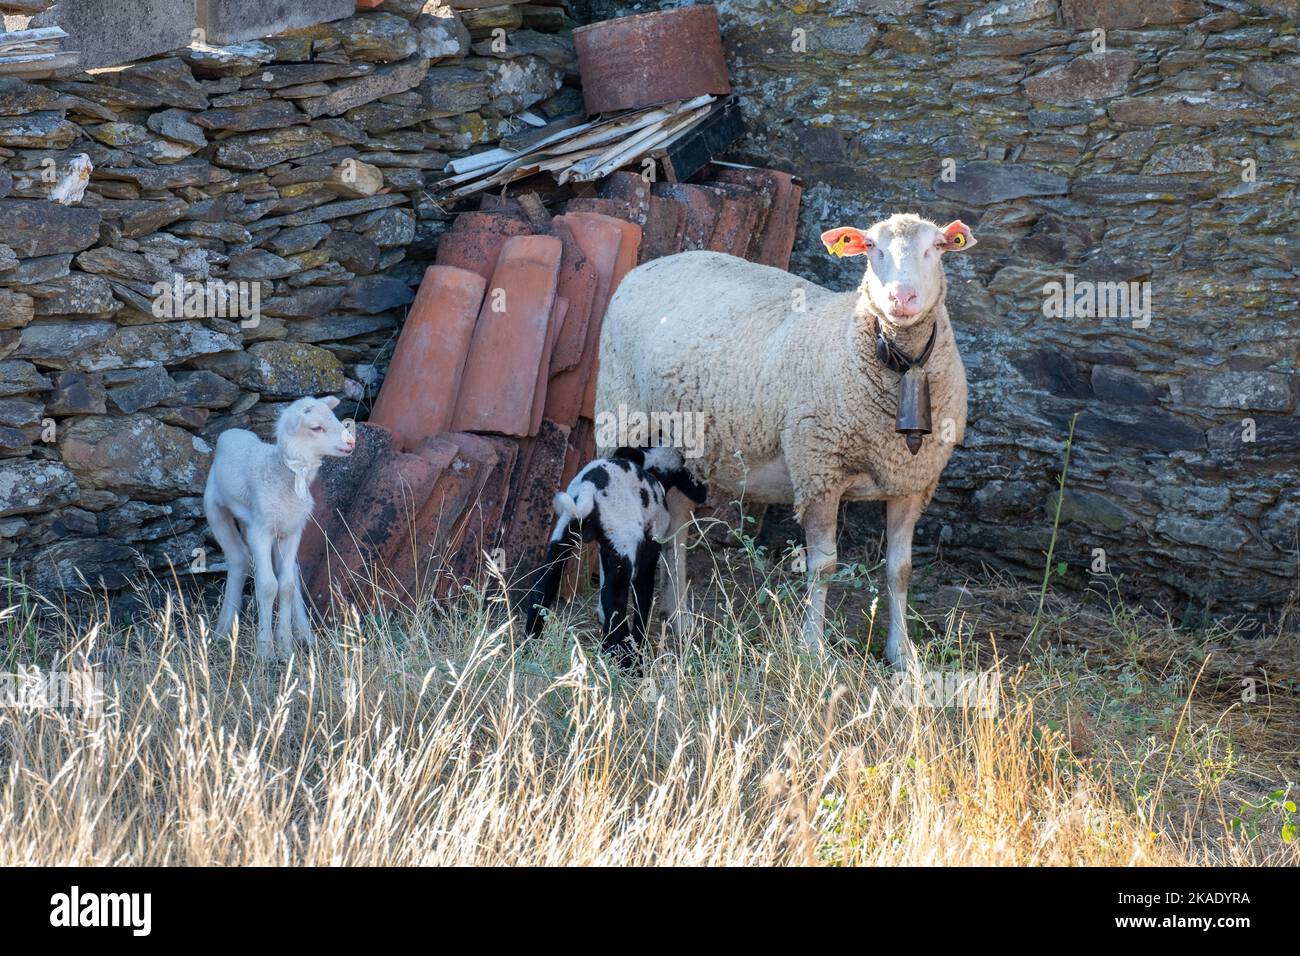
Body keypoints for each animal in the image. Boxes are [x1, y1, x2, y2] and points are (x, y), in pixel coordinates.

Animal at [204, 395, 356, 658]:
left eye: (335, 418)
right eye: (316, 427)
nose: (350, 443)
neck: (284, 472)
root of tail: (233, 432)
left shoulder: (292, 531)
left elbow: (285, 585)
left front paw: (285, 645)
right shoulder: (261, 531)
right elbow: (267, 586)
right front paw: (265, 650)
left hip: (267, 525)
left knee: (290, 570)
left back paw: (304, 633)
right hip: (216, 509)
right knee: (238, 558)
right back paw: (223, 629)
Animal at [517, 447, 707, 665]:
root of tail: (589, 489)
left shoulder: (607, 551)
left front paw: (608, 646)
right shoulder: (649, 547)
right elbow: (643, 598)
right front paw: (636, 646)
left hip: (565, 534)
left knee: (543, 586)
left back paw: (529, 647)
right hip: (624, 539)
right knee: (614, 599)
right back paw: (629, 662)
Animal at [595, 214, 977, 671]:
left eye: (936, 247)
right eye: (871, 247)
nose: (901, 297)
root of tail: (648, 266)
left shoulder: (910, 481)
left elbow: (900, 570)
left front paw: (902, 655)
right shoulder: (819, 470)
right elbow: (823, 566)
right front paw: (812, 649)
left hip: (685, 451)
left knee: (677, 527)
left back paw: (680, 619)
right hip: (620, 414)